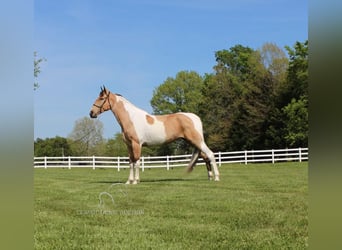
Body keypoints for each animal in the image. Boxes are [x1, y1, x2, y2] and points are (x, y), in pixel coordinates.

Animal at [89, 86, 220, 184]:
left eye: (101, 98)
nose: (91, 113)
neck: (131, 118)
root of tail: (195, 117)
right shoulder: (129, 145)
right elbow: (131, 162)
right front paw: (128, 181)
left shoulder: (136, 144)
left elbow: (136, 162)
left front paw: (135, 181)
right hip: (193, 142)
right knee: (205, 157)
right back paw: (210, 177)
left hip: (197, 141)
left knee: (210, 154)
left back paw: (217, 178)